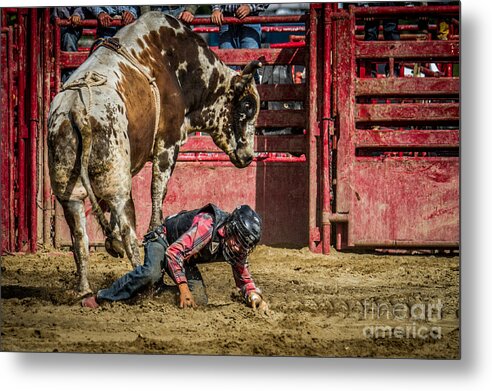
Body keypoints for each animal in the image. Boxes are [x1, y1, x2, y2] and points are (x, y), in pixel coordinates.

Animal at [48, 10, 264, 296]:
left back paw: (85, 289)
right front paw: (154, 231)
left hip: (69, 191)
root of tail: (76, 110)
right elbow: (158, 190)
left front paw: (111, 243)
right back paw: (145, 282)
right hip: (118, 185)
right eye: (246, 107)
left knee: (80, 239)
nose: (249, 156)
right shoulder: (168, 143)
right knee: (127, 231)